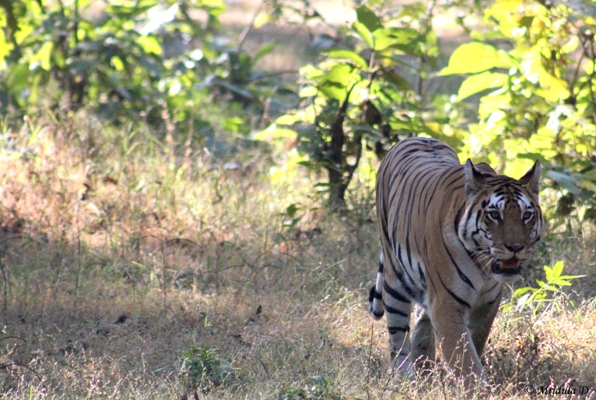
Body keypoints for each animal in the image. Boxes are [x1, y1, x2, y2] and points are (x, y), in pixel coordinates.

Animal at [370, 136, 544, 386]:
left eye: (526, 215)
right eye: (494, 215)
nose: (516, 247)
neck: (484, 267)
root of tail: (417, 137)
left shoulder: (487, 302)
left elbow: (474, 343)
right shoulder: (446, 301)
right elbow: (463, 355)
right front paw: (477, 388)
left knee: (421, 322)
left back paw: (424, 368)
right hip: (395, 281)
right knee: (397, 340)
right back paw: (405, 377)